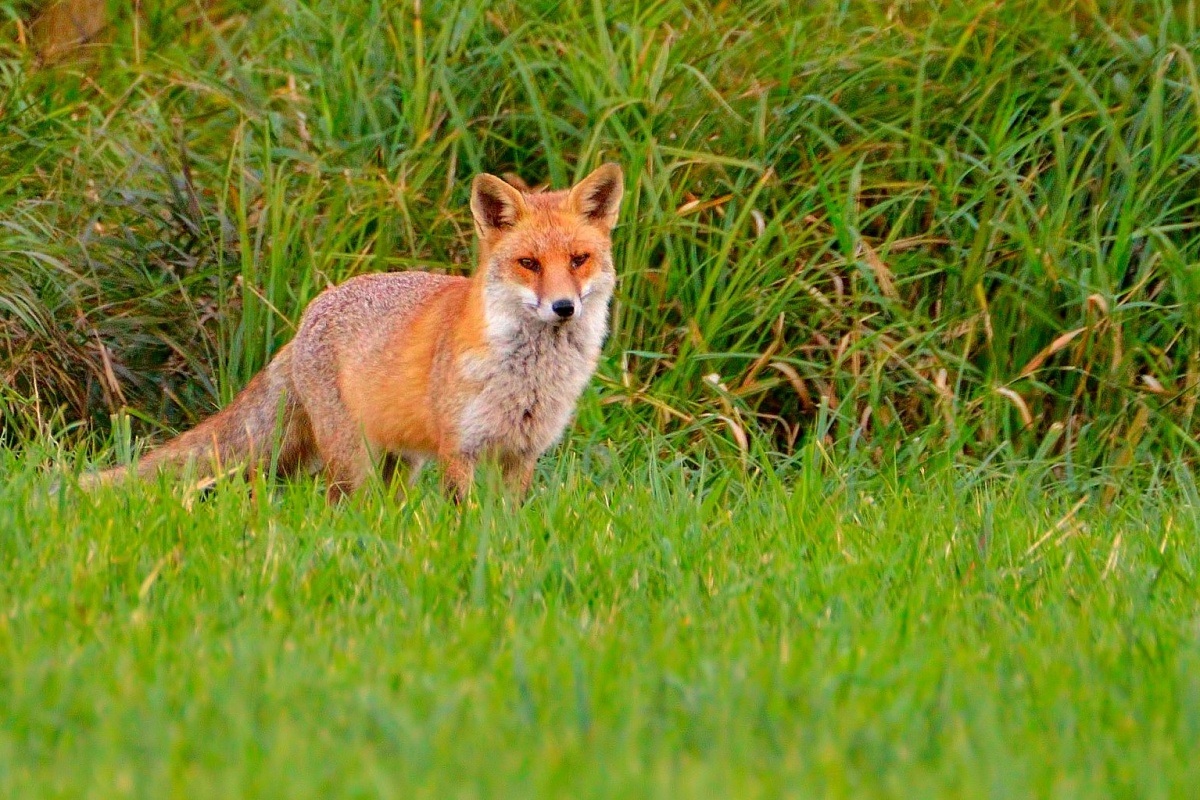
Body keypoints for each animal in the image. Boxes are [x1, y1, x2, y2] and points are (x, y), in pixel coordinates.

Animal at [80, 163, 625, 502]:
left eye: (578, 259)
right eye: (528, 264)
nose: (563, 307)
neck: (528, 378)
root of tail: (305, 319)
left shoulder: (522, 454)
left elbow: (508, 523)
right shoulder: (459, 449)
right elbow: (464, 520)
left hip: (398, 464)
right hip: (352, 461)